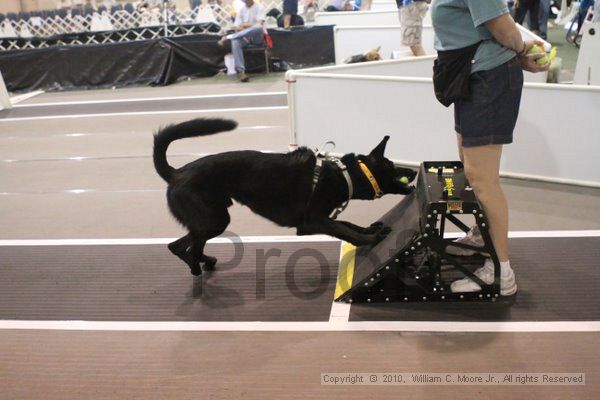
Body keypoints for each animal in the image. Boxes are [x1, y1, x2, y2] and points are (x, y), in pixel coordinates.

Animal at [155, 118, 418, 276]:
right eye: (392, 166)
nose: (415, 171)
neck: (344, 175)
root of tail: (175, 173)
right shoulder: (312, 222)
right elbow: (346, 231)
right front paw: (372, 238)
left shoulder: (322, 217)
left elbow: (348, 224)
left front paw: (371, 229)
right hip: (214, 220)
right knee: (178, 246)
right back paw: (195, 267)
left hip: (212, 219)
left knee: (191, 246)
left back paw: (206, 261)